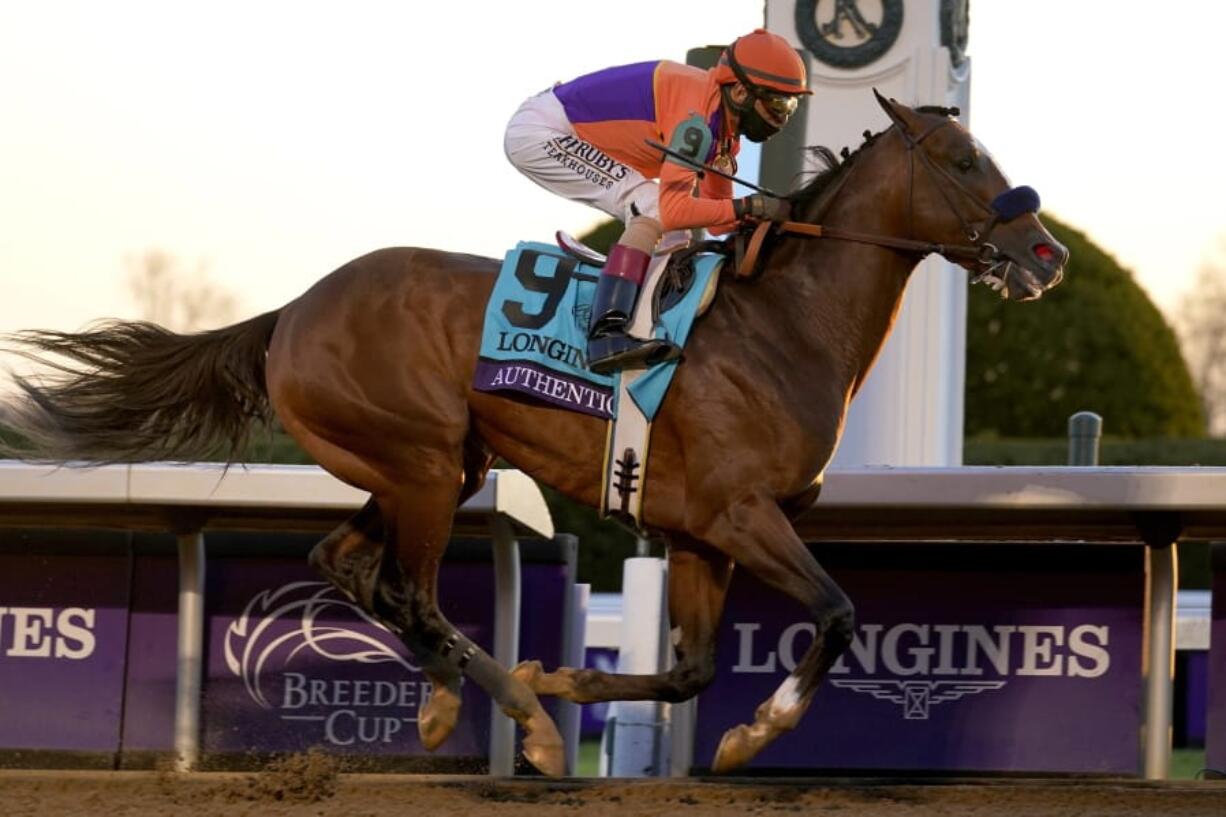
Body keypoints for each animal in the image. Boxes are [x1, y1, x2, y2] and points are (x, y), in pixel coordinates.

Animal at [2, 93, 1064, 770]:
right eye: (964, 162)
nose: (1047, 252)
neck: (784, 321)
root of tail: (292, 311)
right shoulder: (740, 513)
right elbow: (836, 612)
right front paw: (754, 730)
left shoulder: (699, 533)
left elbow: (690, 669)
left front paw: (575, 679)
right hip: (424, 462)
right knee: (412, 590)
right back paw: (519, 717)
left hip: (428, 463)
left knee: (348, 562)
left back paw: (460, 697)